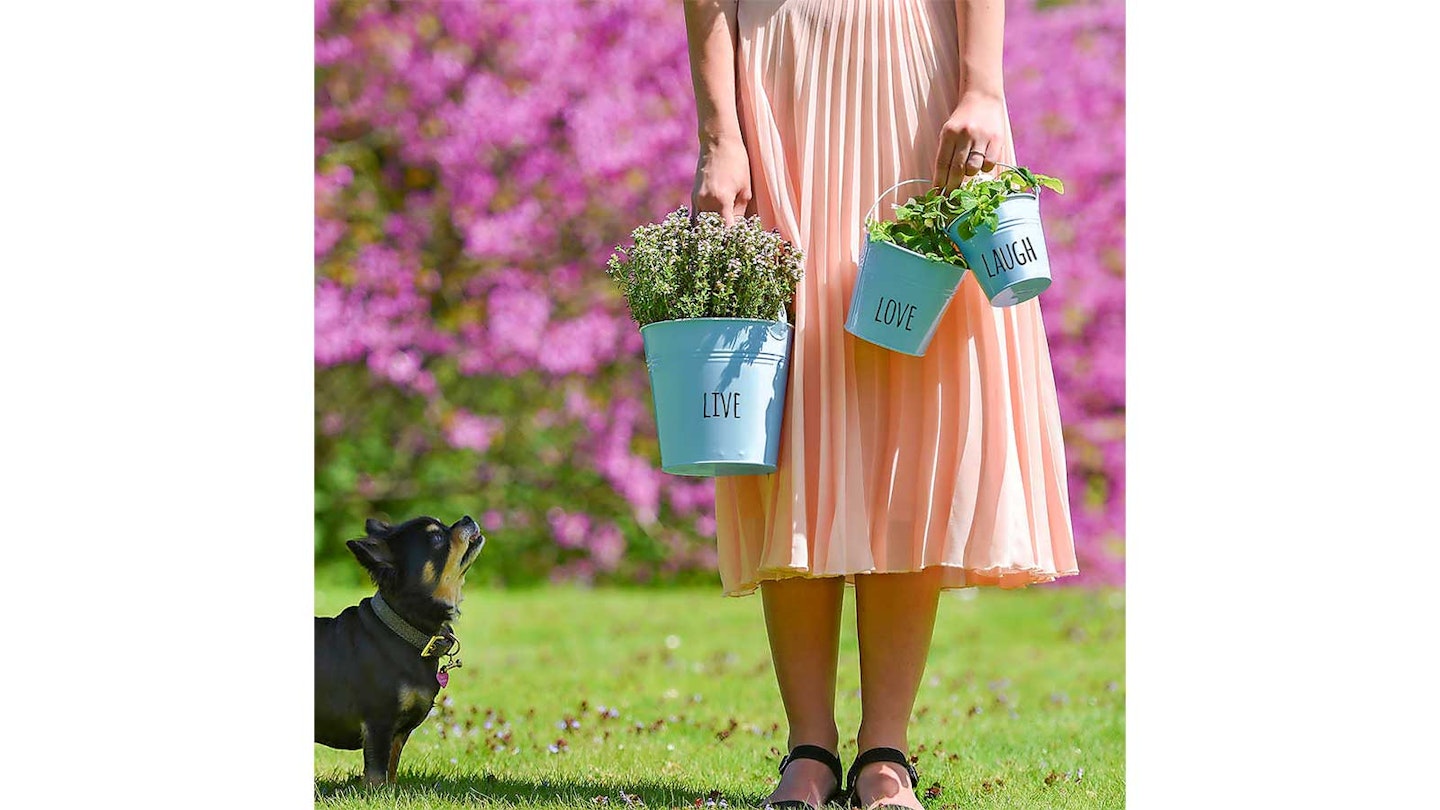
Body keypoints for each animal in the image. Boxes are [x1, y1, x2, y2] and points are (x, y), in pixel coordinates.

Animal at [313, 513, 483, 784]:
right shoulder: (378, 724)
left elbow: (391, 767)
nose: (467, 518)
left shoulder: (398, 733)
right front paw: (376, 792)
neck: (404, 630)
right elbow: (377, 772)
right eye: (437, 537)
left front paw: (392, 791)